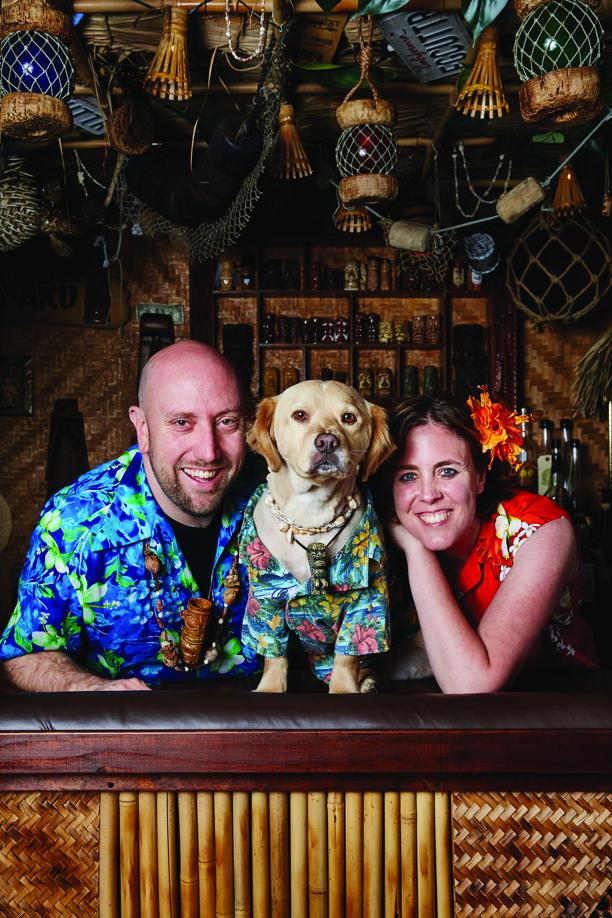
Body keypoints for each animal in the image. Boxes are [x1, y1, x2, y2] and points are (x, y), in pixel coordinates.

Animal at [239, 379, 396, 693]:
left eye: (349, 418)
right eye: (299, 415)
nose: (327, 442)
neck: (311, 515)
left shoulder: (367, 597)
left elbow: (347, 655)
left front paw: (344, 689)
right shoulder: (264, 597)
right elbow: (273, 651)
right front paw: (270, 687)